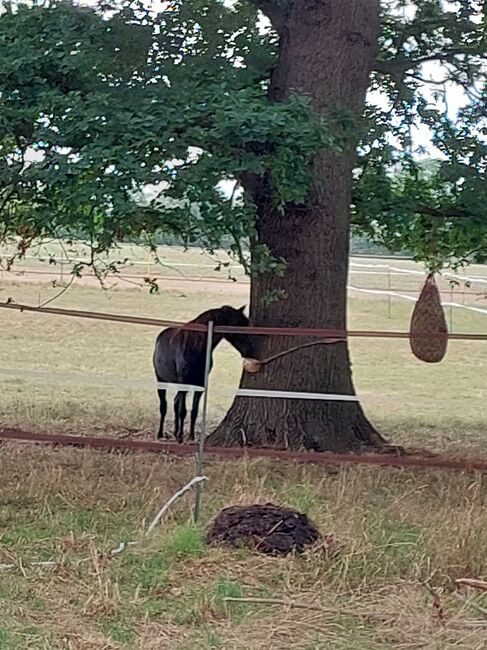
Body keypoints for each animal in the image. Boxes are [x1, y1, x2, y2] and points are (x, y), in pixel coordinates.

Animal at [153, 304, 255, 440]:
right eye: (237, 324)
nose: (250, 351)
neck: (194, 346)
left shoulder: (200, 384)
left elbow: (194, 411)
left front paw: (191, 436)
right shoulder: (184, 382)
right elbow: (182, 411)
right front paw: (180, 437)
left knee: (175, 402)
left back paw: (175, 432)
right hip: (161, 380)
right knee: (164, 406)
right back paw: (160, 433)